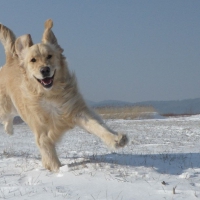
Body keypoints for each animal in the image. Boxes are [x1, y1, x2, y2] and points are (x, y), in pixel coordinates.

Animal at [0, 19, 128, 172]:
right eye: (33, 60)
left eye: (49, 56)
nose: (45, 70)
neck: (50, 94)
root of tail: (10, 60)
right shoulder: (41, 129)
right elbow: (48, 151)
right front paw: (57, 170)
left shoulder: (75, 110)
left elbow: (98, 126)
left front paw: (116, 139)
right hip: (4, 107)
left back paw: (9, 130)